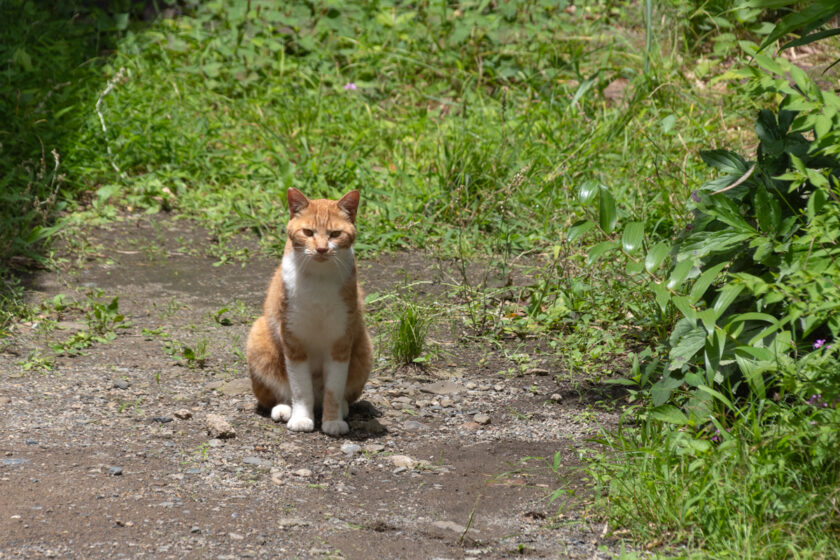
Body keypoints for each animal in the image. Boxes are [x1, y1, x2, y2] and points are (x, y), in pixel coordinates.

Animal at [244, 186, 372, 436]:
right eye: (308, 232)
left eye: (335, 234)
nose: (321, 249)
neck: (319, 279)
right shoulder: (293, 340)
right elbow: (300, 389)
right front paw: (302, 418)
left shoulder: (340, 342)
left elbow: (334, 390)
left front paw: (332, 421)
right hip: (258, 335)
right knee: (279, 393)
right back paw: (284, 408)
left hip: (365, 345)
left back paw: (342, 408)